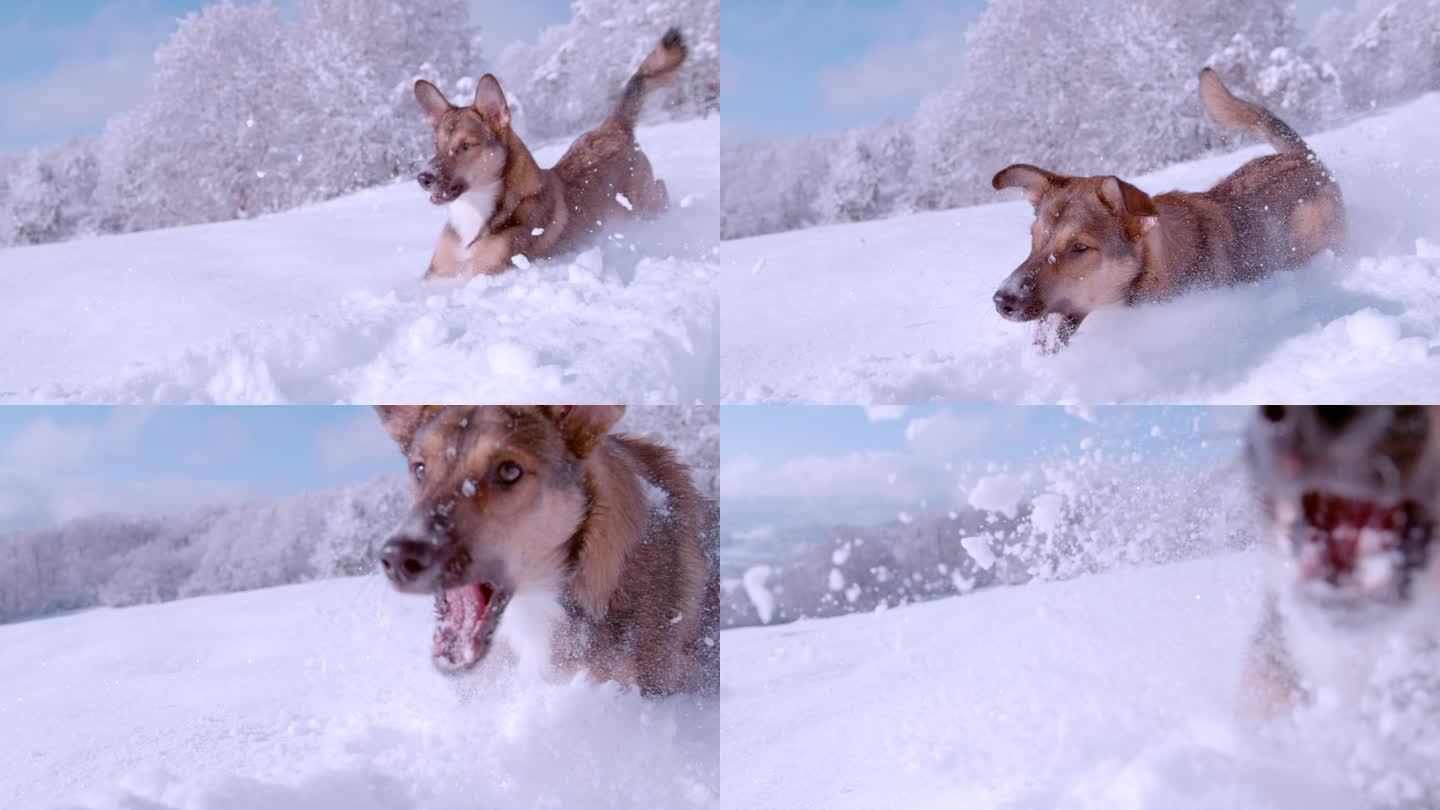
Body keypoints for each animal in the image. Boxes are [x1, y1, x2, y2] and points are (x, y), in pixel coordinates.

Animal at [414, 28, 688, 279]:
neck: (476, 208)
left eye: (465, 146)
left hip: (643, 204)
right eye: (436, 146)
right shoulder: (436, 275)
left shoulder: (485, 271)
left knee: (661, 189)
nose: (423, 178)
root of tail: (614, 125)